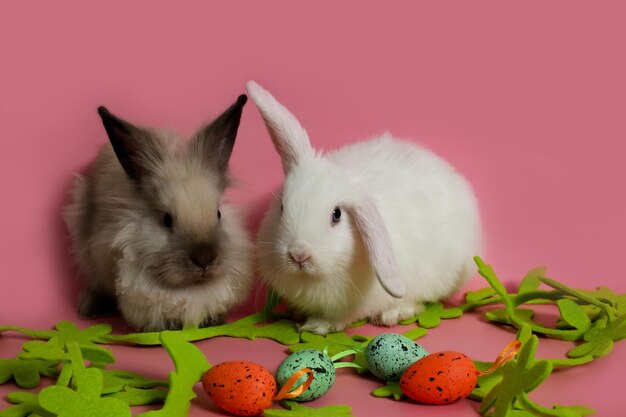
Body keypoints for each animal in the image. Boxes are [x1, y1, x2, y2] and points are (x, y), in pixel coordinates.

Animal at [246, 81, 480, 334]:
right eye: (281, 207)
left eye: (337, 215)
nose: (299, 254)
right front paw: (298, 313)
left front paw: (316, 326)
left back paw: (394, 313)